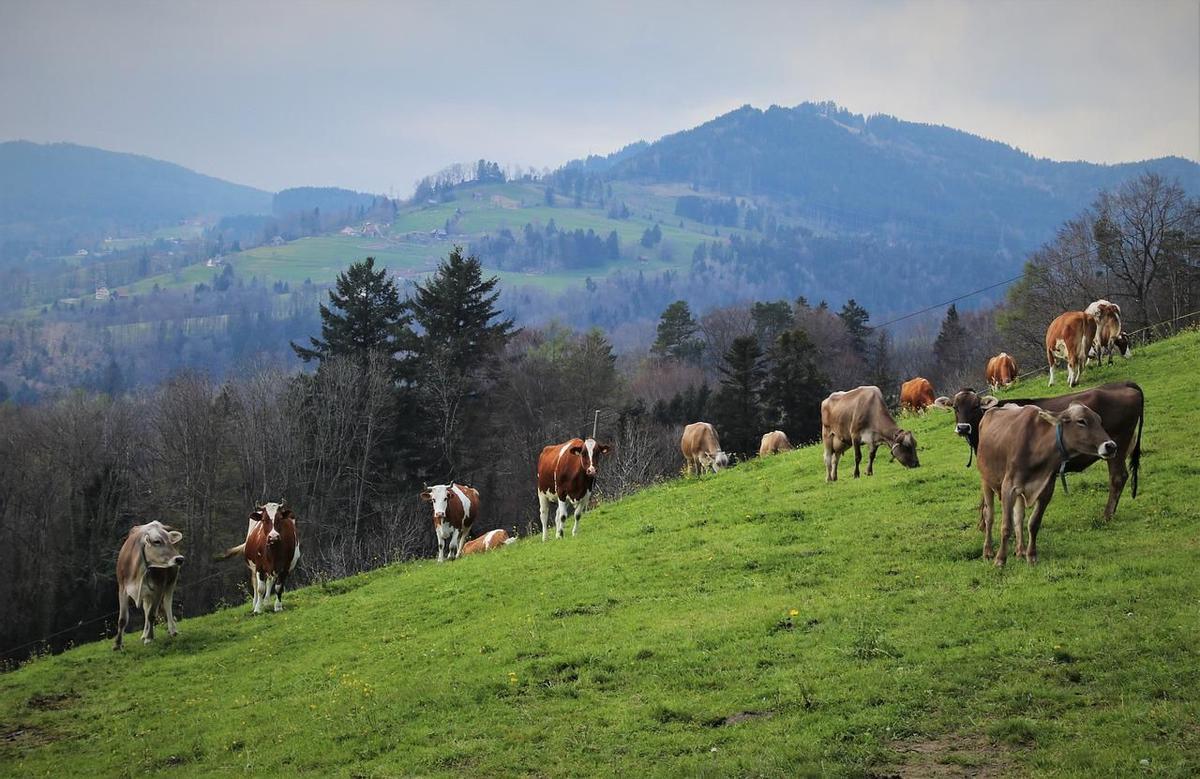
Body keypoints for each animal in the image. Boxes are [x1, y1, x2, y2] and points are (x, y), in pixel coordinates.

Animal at [926, 379, 1142, 518]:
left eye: (975, 406)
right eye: (955, 407)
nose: (963, 428)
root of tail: (1123, 384)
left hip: (1115, 445)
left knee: (1118, 477)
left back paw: (1106, 515)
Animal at [979, 400, 1118, 564]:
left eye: (1099, 421)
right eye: (1081, 421)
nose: (1111, 446)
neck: (1036, 446)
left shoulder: (1046, 489)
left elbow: (1034, 523)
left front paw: (1031, 555)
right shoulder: (1009, 487)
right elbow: (1006, 526)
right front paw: (1000, 559)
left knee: (1018, 517)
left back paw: (1020, 550)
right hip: (986, 480)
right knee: (989, 515)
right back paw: (988, 551)